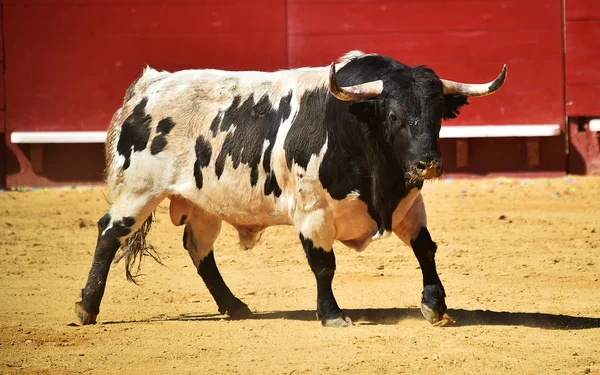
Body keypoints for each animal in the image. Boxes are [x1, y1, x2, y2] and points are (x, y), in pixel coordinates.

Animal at [75, 51, 506, 328]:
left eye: (438, 116)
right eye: (394, 116)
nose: (427, 164)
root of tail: (149, 84)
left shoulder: (408, 206)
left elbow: (426, 250)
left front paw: (435, 304)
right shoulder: (313, 214)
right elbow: (324, 265)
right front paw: (332, 315)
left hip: (205, 204)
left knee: (198, 249)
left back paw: (234, 305)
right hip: (137, 192)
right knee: (109, 234)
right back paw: (86, 308)